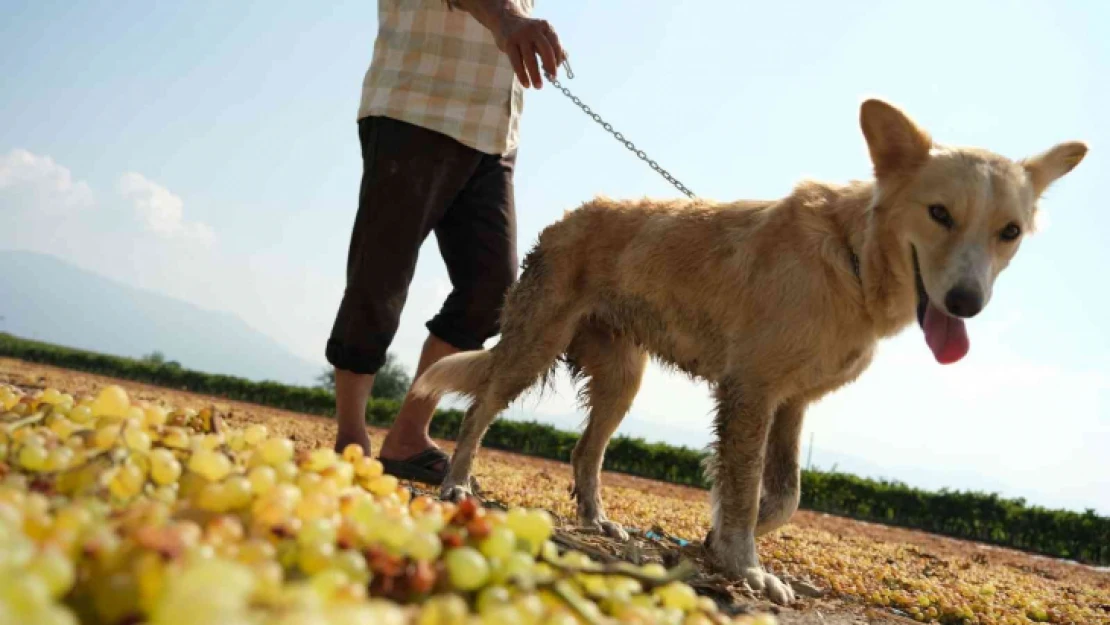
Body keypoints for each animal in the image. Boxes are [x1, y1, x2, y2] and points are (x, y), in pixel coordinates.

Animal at [408, 98, 1083, 608]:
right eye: (939, 213)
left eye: (1009, 232)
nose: (967, 303)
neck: (851, 259)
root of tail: (566, 219)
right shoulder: (750, 389)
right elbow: (742, 485)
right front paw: (743, 563)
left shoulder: (792, 403)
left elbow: (783, 496)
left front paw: (712, 546)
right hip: (533, 346)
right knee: (479, 409)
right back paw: (456, 485)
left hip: (623, 377)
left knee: (584, 452)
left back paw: (597, 521)